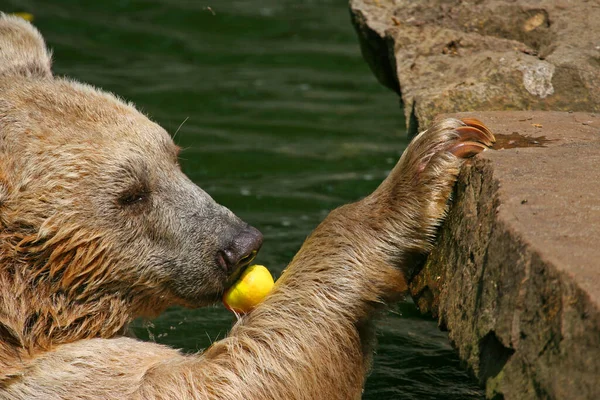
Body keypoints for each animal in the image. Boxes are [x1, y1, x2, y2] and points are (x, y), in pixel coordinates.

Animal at [0, 14, 492, 398]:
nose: (240, 245)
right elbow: (211, 381)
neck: (24, 314)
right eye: (133, 194)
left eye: (174, 155)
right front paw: (429, 160)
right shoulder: (41, 378)